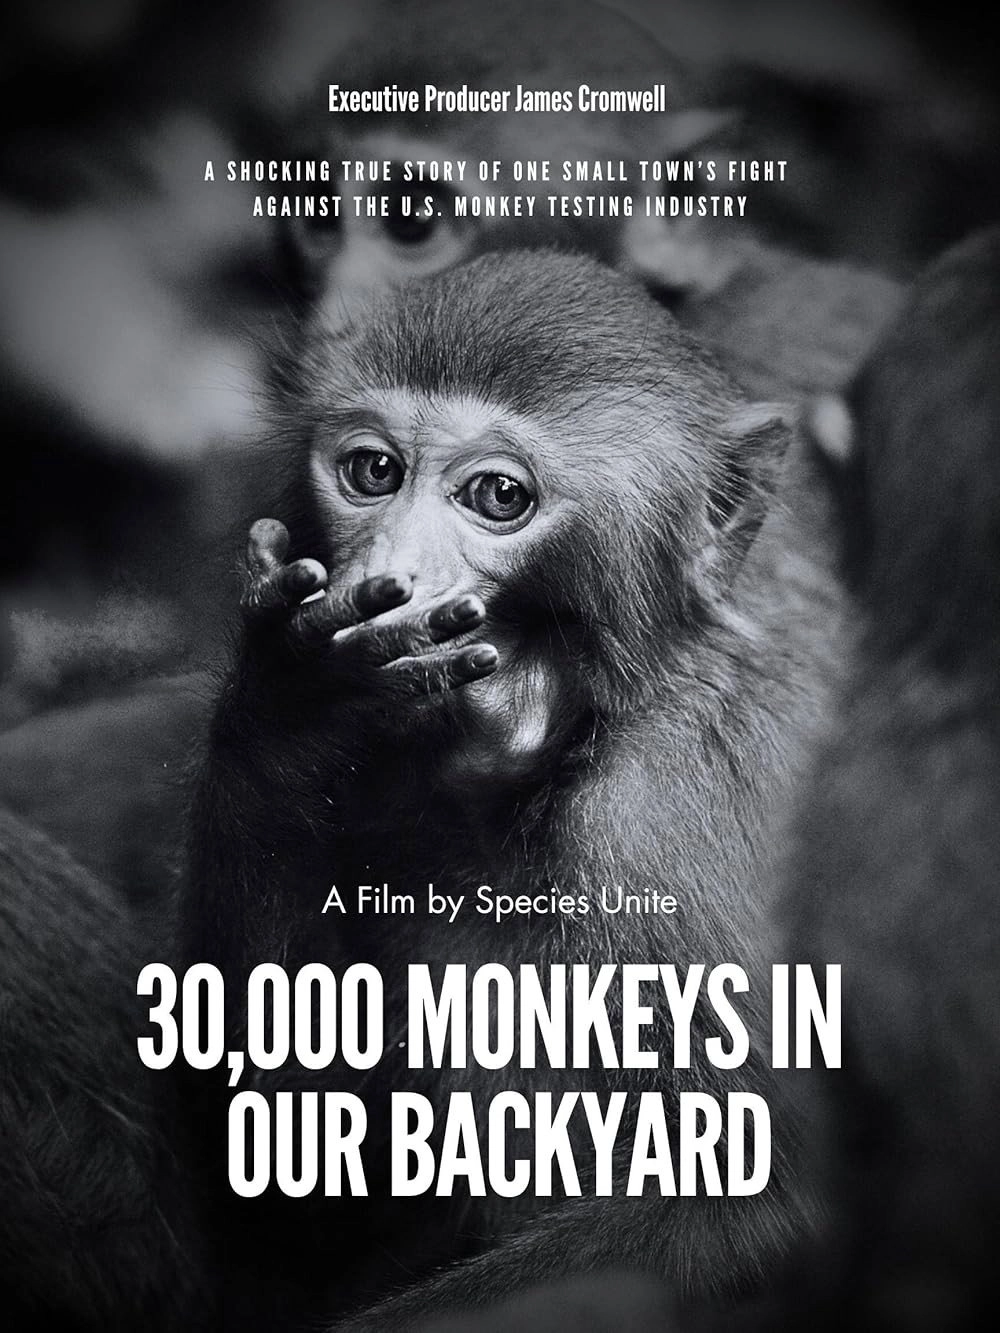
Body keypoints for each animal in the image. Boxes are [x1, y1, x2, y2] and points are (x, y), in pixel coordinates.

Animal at [171, 248, 845, 1330]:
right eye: (372, 472)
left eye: (496, 496)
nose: (392, 577)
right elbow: (299, 1198)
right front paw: (292, 703)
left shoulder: (672, 822)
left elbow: (759, 1209)